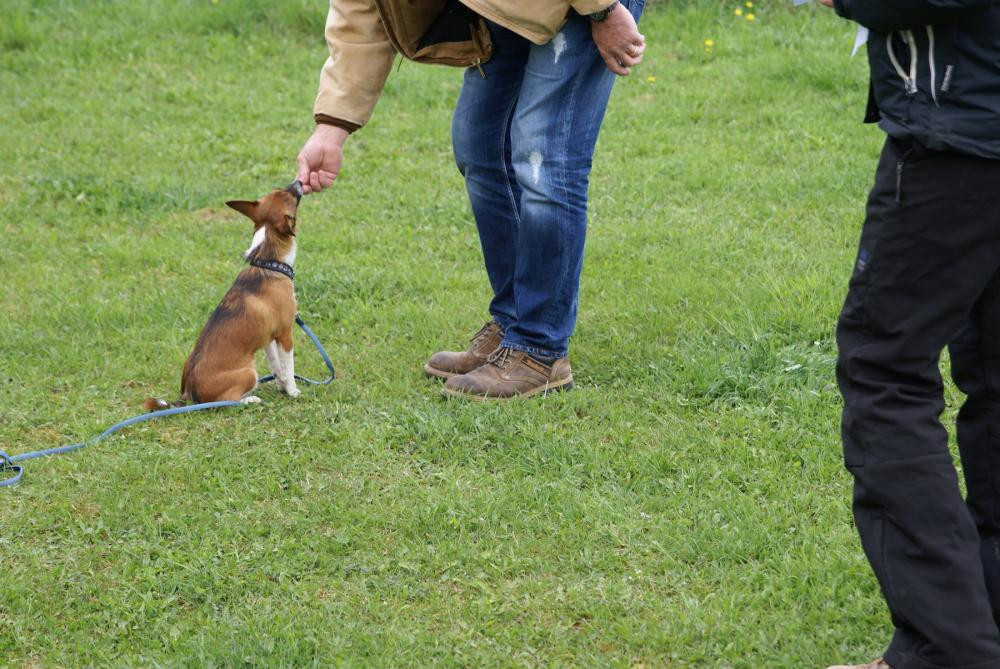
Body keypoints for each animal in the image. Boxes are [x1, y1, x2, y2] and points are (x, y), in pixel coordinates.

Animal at [145, 180, 304, 410]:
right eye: (287, 195)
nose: (298, 182)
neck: (268, 262)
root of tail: (188, 395)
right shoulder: (284, 334)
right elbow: (288, 367)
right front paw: (292, 391)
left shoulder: (267, 338)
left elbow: (277, 367)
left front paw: (281, 386)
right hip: (249, 372)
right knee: (228, 401)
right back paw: (250, 399)